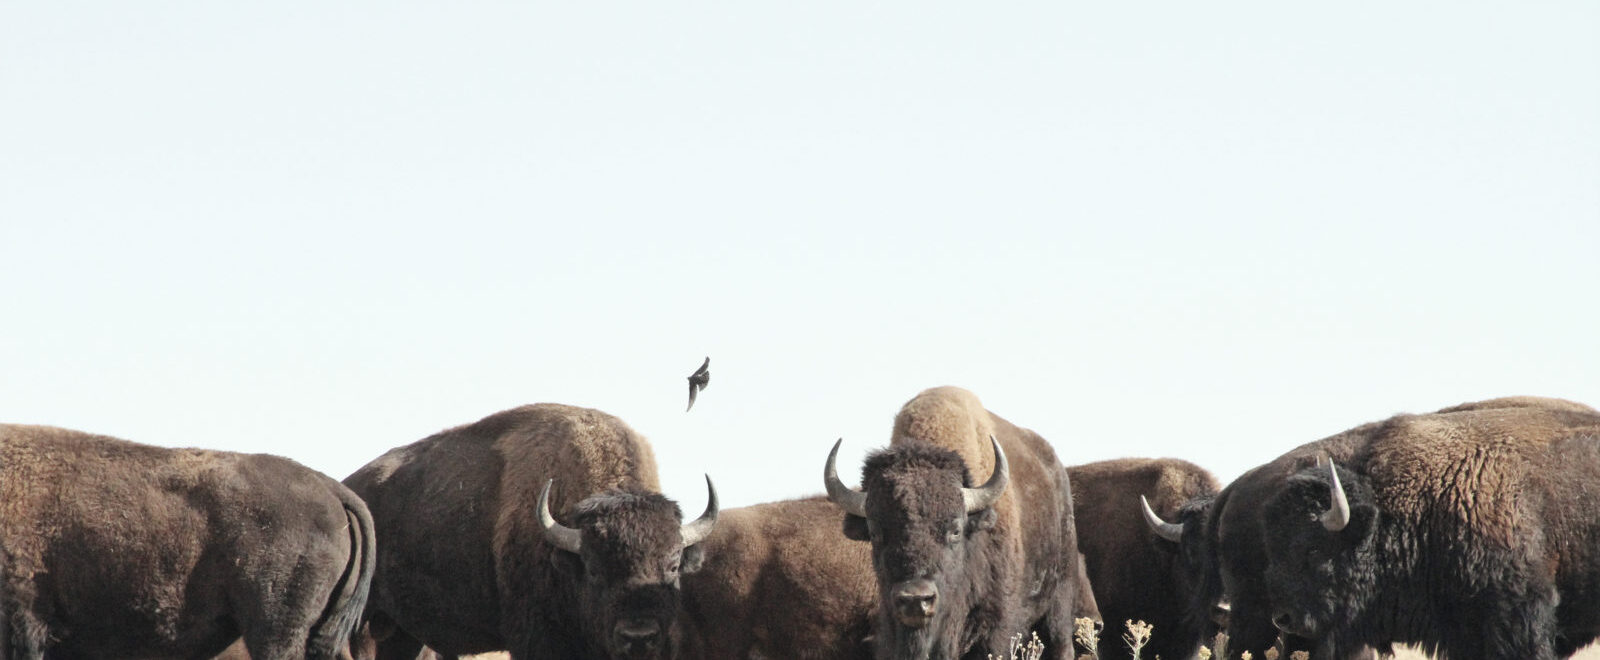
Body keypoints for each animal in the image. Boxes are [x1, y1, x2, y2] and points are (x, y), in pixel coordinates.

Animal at [347, 402, 716, 660]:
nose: (638, 636)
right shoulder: (537, 637)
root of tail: (352, 487)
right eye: (594, 570)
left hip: (401, 633)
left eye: (673, 566)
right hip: (361, 624)